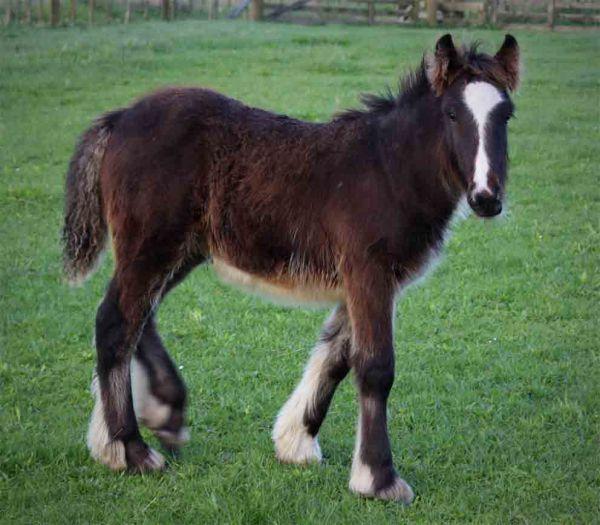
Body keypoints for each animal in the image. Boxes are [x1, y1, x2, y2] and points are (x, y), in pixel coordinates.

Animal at [63, 34, 516, 502]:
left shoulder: (363, 282)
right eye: (451, 113)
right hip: (152, 246)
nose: (486, 198)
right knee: (116, 321)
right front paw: (380, 479)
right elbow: (375, 367)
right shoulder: (368, 273)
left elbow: (336, 356)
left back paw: (155, 416)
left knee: (137, 316)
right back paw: (130, 450)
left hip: (180, 251)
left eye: (506, 115)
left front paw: (296, 442)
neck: (389, 170)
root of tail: (120, 118)